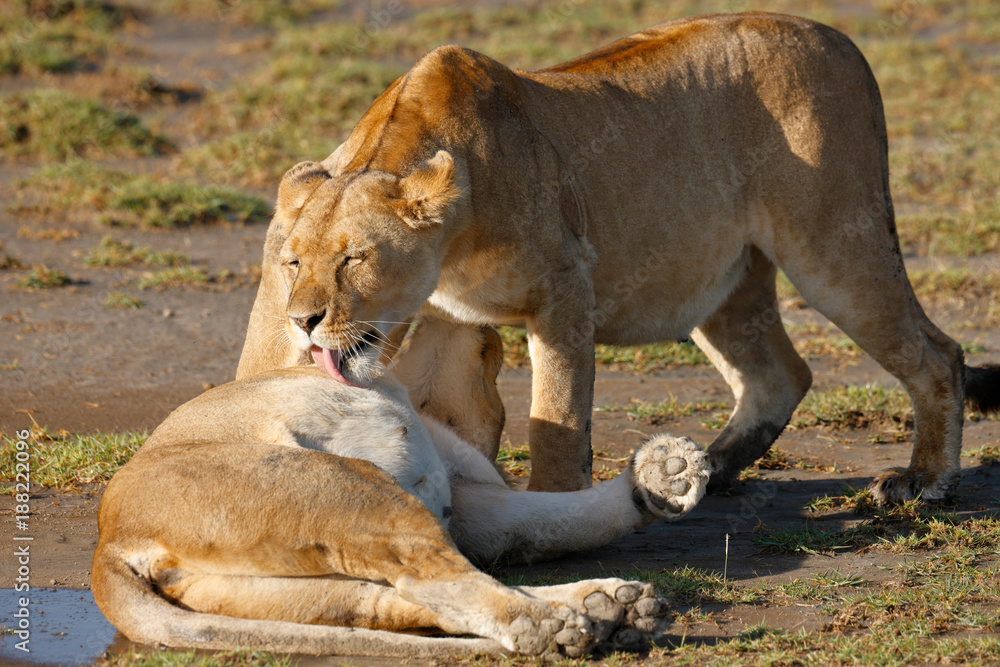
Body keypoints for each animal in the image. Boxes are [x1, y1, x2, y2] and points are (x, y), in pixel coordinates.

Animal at [92, 319, 710, 657]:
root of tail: (108, 540)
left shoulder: (464, 501)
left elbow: (556, 520)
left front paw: (664, 476)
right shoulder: (451, 496)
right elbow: (544, 523)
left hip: (295, 588)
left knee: (397, 601)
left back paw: (612, 609)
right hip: (348, 487)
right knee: (434, 578)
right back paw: (553, 626)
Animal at [238, 11, 1000, 504]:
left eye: (355, 260)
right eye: (293, 264)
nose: (304, 321)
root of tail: (840, 39)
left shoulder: (564, 290)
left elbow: (556, 417)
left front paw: (553, 507)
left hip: (836, 242)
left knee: (938, 354)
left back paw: (922, 480)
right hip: (721, 280)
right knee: (779, 374)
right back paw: (705, 469)